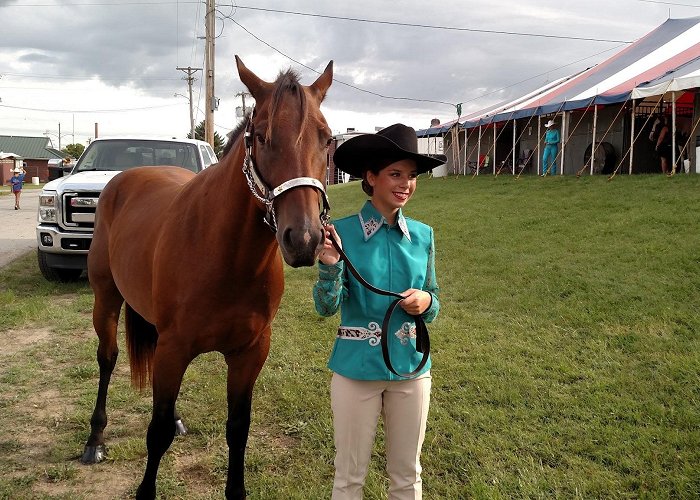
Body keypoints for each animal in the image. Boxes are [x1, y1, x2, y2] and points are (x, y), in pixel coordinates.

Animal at [80, 56, 332, 498]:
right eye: (262, 136)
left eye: (327, 139)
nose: (303, 239)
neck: (227, 257)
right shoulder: (175, 348)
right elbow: (156, 434)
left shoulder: (250, 353)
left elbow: (238, 429)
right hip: (106, 301)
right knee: (107, 359)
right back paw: (95, 440)